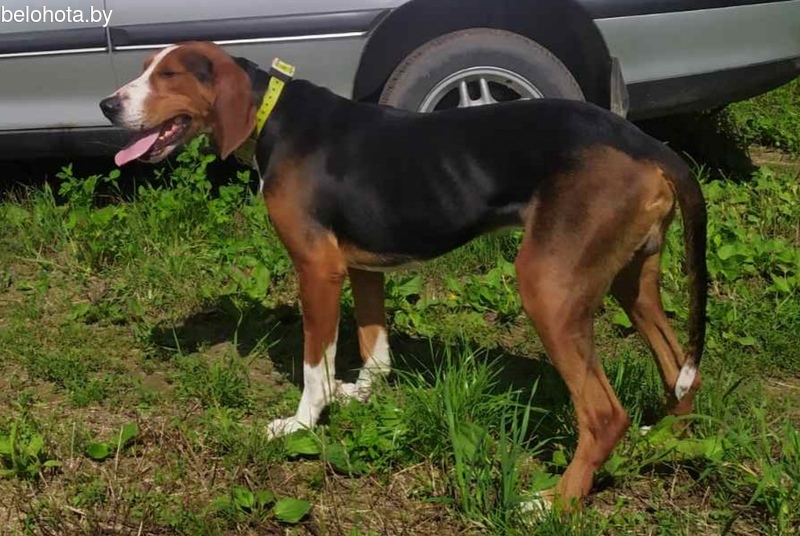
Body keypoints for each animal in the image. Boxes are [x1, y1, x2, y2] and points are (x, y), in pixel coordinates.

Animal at [99, 41, 707, 509]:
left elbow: (314, 365)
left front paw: (302, 423)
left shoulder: (317, 269)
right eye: (146, 67)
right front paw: (360, 395)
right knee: (680, 368)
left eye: (169, 75)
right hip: (631, 282)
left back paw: (554, 502)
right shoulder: (363, 266)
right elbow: (375, 348)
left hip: (548, 287)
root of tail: (647, 144)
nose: (106, 104)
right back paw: (667, 441)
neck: (271, 113)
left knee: (604, 416)